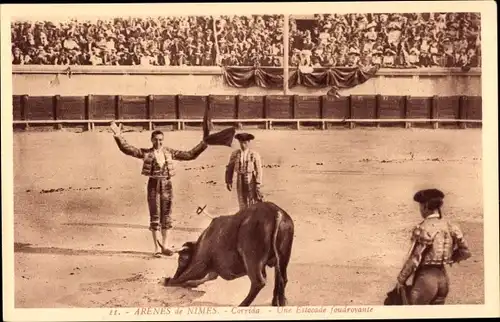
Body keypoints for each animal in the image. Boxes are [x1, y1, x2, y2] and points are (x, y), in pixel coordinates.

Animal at [158, 201, 294, 306]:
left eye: (181, 259)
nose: (175, 274)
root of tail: (276, 213)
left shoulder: (199, 265)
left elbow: (185, 277)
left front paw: (168, 280)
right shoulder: (211, 271)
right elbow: (202, 278)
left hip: (251, 260)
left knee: (259, 282)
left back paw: (242, 305)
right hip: (283, 259)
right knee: (282, 279)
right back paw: (279, 302)